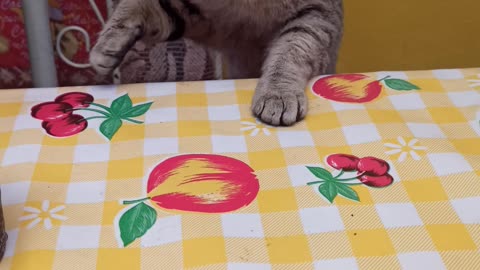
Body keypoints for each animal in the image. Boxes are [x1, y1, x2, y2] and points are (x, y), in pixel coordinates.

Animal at [90, 0, 344, 126]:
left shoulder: (317, 14)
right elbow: (139, 6)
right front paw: (109, 42)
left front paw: (278, 93)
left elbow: (290, 50)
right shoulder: (200, 17)